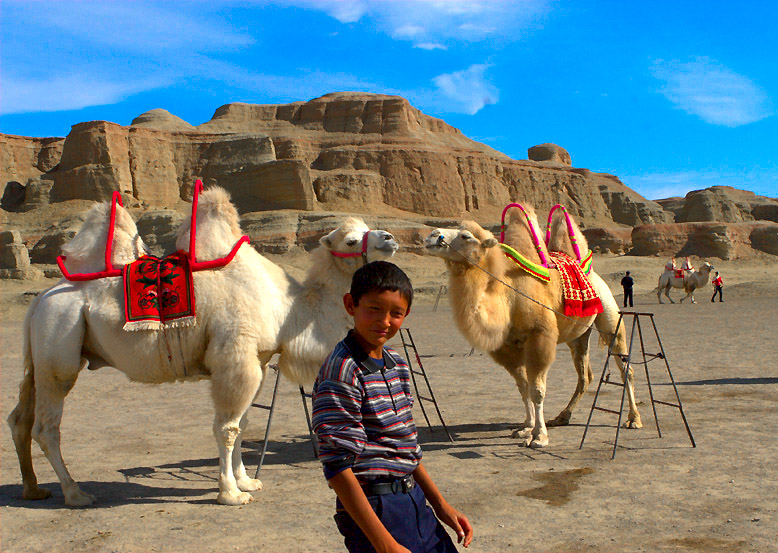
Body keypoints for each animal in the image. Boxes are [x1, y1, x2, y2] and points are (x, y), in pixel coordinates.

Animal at [10, 189, 400, 504]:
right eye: (351, 241)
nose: (390, 238)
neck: (287, 310)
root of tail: (39, 301)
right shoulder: (234, 357)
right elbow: (226, 428)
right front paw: (230, 493)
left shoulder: (257, 360)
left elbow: (243, 424)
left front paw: (247, 481)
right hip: (58, 346)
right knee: (47, 427)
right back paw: (75, 493)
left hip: (41, 355)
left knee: (20, 419)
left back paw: (33, 489)